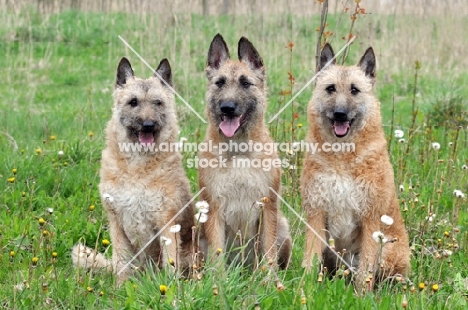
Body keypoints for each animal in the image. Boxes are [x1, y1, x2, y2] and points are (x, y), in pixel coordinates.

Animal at [197, 32, 292, 268]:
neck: (238, 151)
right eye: (220, 83)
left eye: (246, 83)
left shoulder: (268, 208)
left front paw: (268, 277)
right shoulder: (214, 209)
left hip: (282, 226)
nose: (227, 107)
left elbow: (268, 254)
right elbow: (217, 256)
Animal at [300, 43, 410, 294]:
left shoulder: (370, 218)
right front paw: (305, 288)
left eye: (354, 90)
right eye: (330, 88)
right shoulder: (316, 214)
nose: (340, 114)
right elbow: (310, 258)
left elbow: (366, 267)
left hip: (388, 250)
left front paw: (362, 296)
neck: (342, 156)